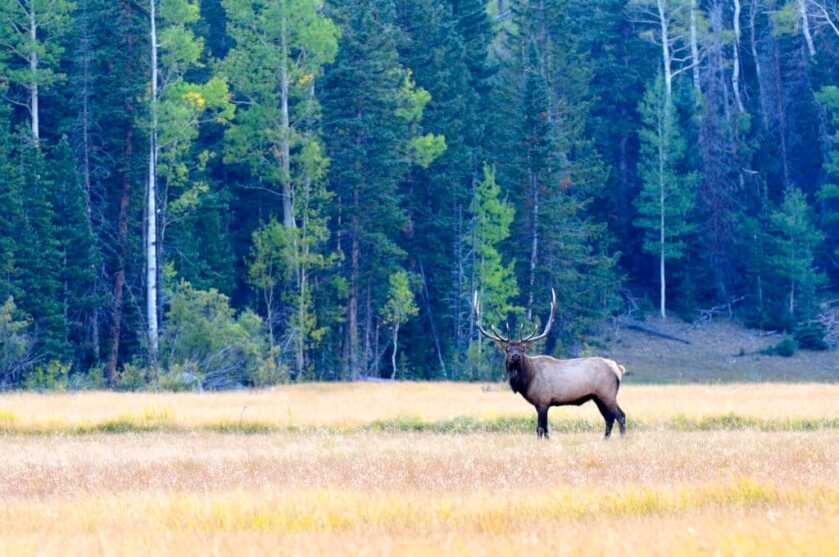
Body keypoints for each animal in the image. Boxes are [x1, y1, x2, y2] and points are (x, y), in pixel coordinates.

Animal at [474, 290, 627, 440]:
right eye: (507, 349)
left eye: (523, 348)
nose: (515, 356)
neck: (527, 380)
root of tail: (617, 369)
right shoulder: (541, 404)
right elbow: (544, 430)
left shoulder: (543, 401)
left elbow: (541, 429)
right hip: (597, 397)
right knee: (609, 418)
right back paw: (605, 439)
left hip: (607, 393)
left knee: (620, 416)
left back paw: (621, 439)